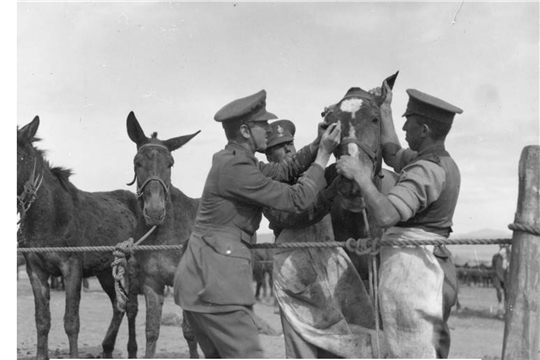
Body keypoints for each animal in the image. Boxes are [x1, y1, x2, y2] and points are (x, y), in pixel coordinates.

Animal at [18, 116, 141, 358]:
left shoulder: (71, 267)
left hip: (131, 267)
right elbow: (42, 321)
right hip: (106, 271)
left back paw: (131, 349)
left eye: (18, 156)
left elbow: (71, 322)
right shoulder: (35, 270)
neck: (51, 216)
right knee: (118, 305)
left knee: (131, 308)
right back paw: (107, 347)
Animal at [126, 111, 200, 358]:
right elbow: (151, 332)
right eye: (137, 162)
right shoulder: (152, 284)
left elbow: (190, 333)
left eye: (170, 164)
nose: (155, 211)